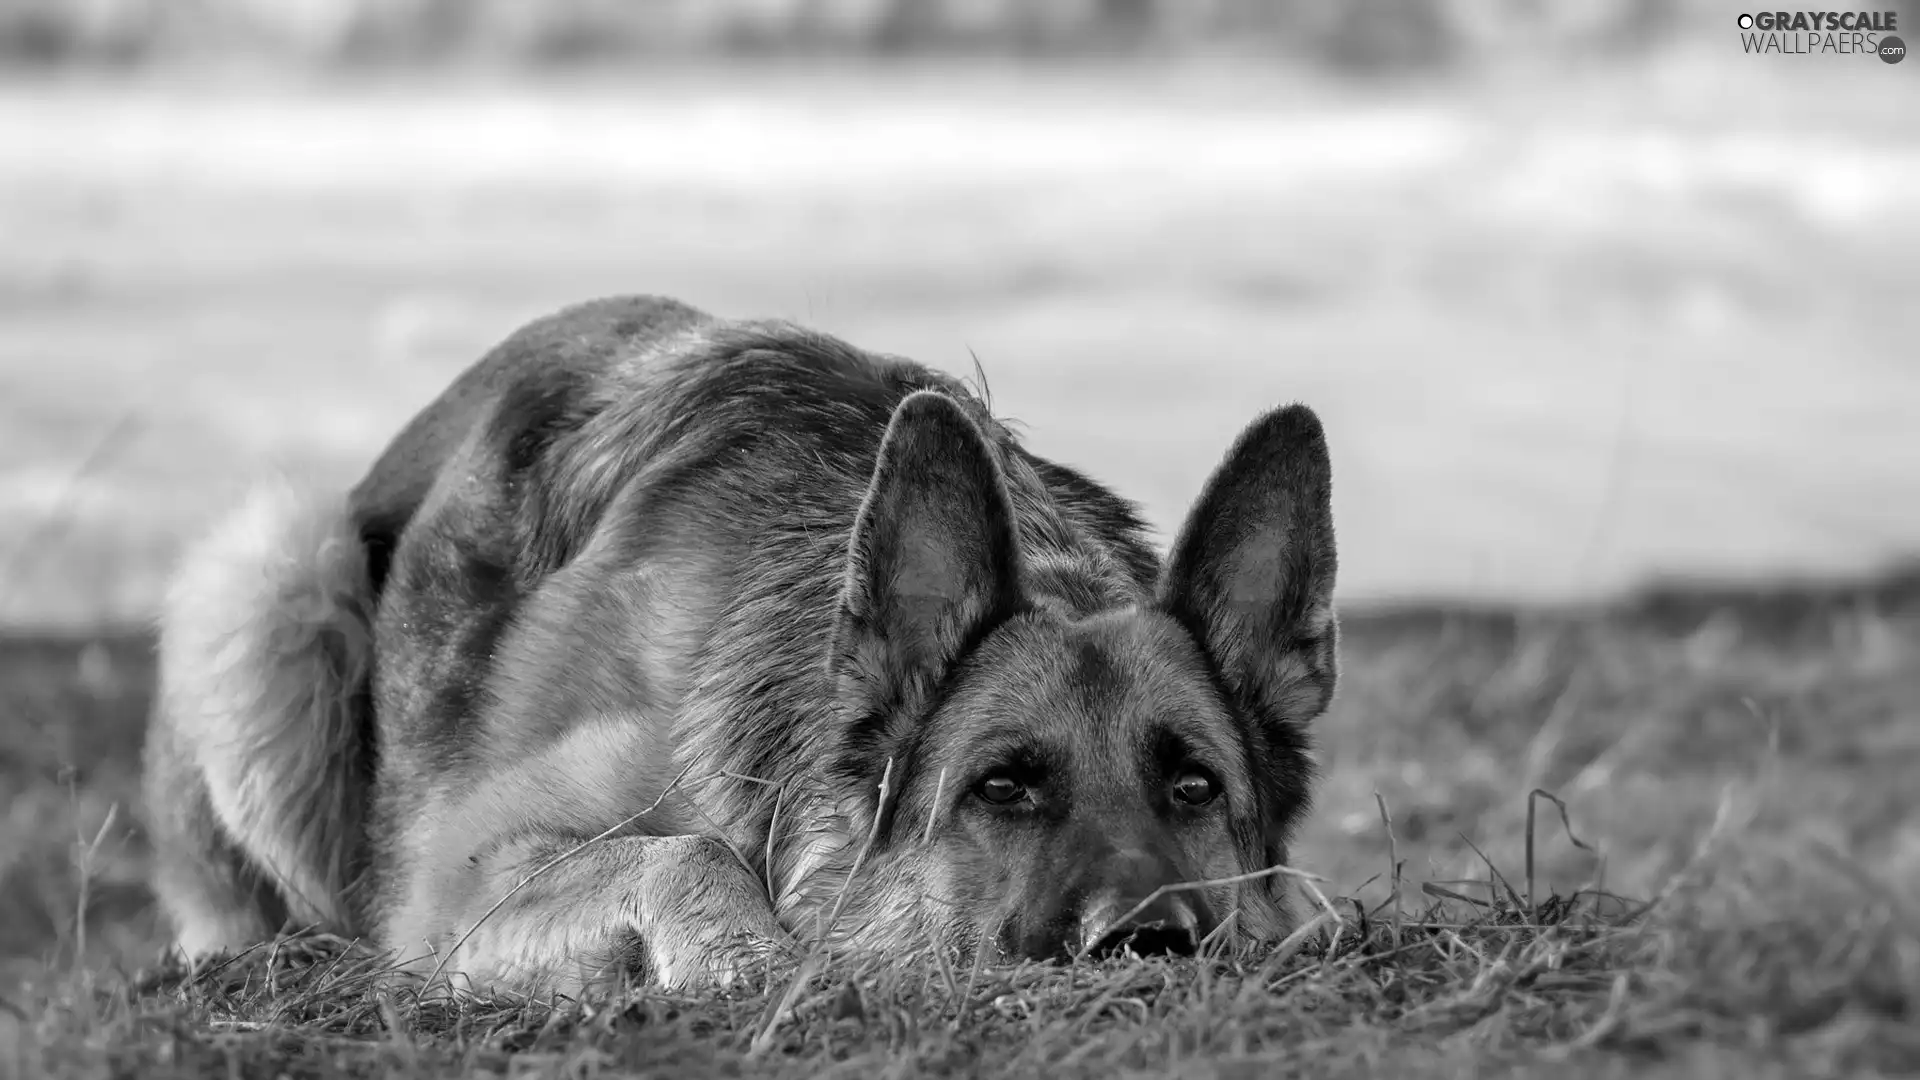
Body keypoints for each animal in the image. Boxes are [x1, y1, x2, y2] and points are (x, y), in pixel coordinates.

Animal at [139, 292, 1336, 991]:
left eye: (1195, 788)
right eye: (1001, 788)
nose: (1147, 943)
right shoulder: (457, 877)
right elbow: (688, 851)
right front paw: (744, 954)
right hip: (276, 571)